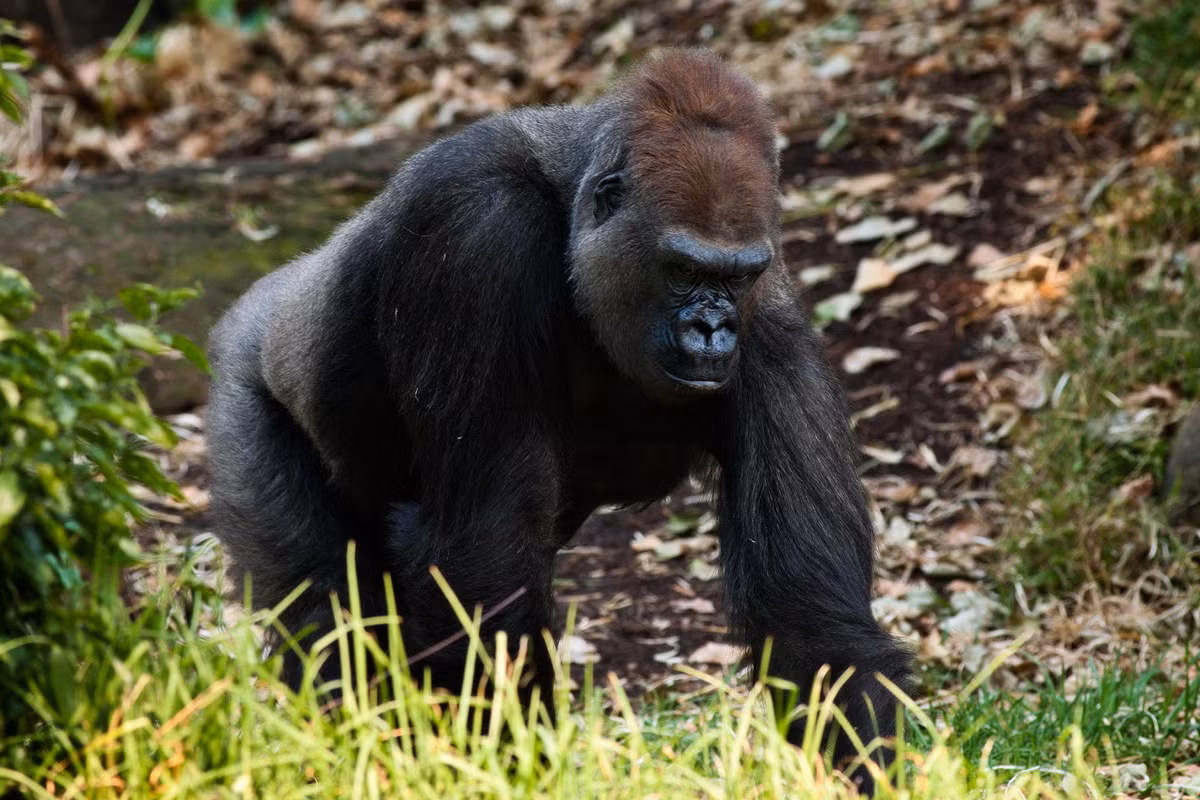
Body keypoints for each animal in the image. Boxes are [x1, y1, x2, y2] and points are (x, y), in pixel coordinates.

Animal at [207, 49, 911, 792]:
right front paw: (507, 767)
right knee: (321, 603)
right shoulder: (475, 224)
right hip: (245, 393)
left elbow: (809, 615)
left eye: (737, 277)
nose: (712, 329)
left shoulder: (770, 322)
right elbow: (483, 554)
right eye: (681, 269)